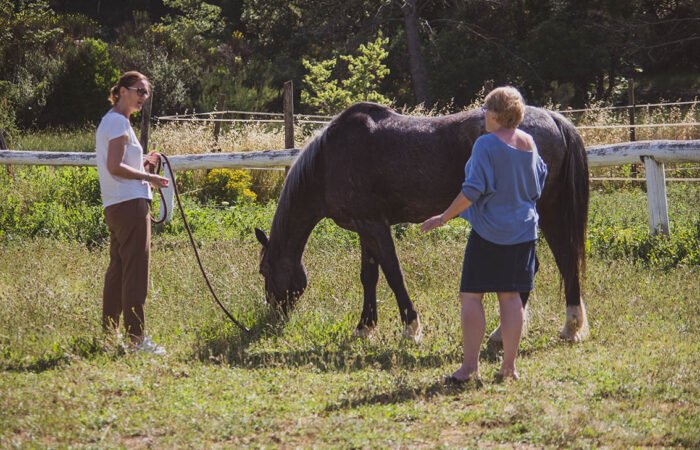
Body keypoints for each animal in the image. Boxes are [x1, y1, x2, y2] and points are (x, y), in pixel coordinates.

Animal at [254, 102, 589, 343]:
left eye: (265, 270)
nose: (272, 317)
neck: (327, 161)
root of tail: (552, 118)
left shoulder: (374, 226)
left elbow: (393, 273)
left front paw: (411, 328)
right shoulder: (364, 227)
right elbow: (369, 276)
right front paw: (365, 327)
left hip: (545, 209)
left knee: (564, 260)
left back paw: (565, 327)